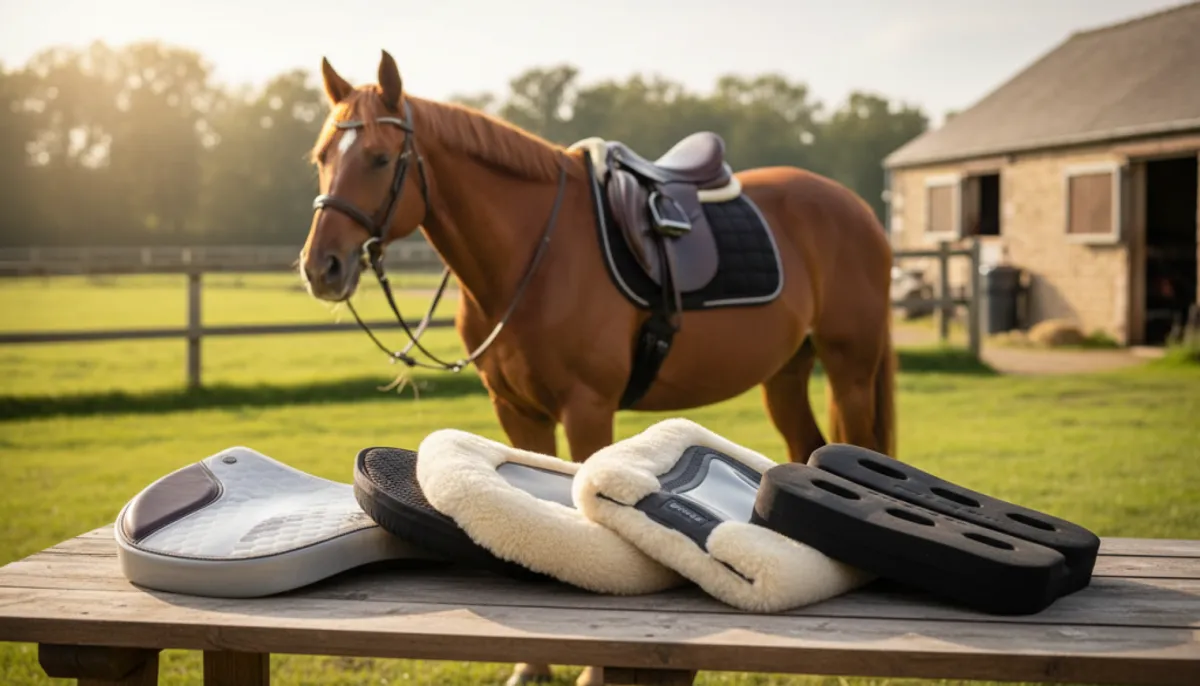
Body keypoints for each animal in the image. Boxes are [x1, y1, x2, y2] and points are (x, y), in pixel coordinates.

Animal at [300, 50, 896, 686]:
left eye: (380, 157)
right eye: (322, 157)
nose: (321, 266)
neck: (535, 254)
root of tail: (857, 208)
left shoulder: (588, 408)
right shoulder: (517, 410)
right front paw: (532, 665)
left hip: (850, 367)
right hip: (785, 375)